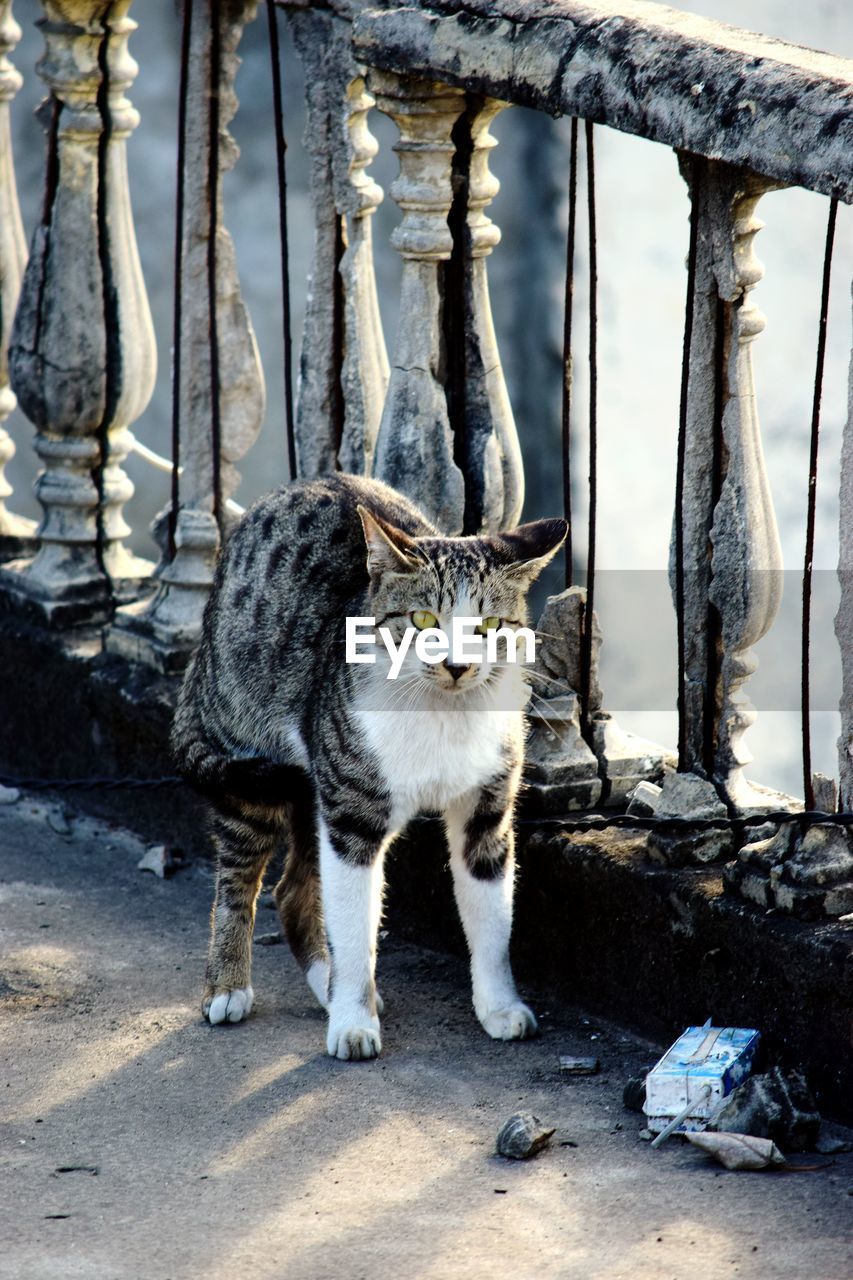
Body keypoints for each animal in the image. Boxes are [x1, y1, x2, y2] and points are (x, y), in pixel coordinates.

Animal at [171, 471, 563, 1059]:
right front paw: (352, 1022)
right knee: (239, 876)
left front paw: (500, 1007)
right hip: (252, 756)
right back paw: (229, 986)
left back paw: (323, 985)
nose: (457, 665)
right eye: (423, 618)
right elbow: (354, 928)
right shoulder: (352, 817)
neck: (441, 713)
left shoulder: (487, 811)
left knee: (293, 892)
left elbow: (492, 920)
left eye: (491, 625)